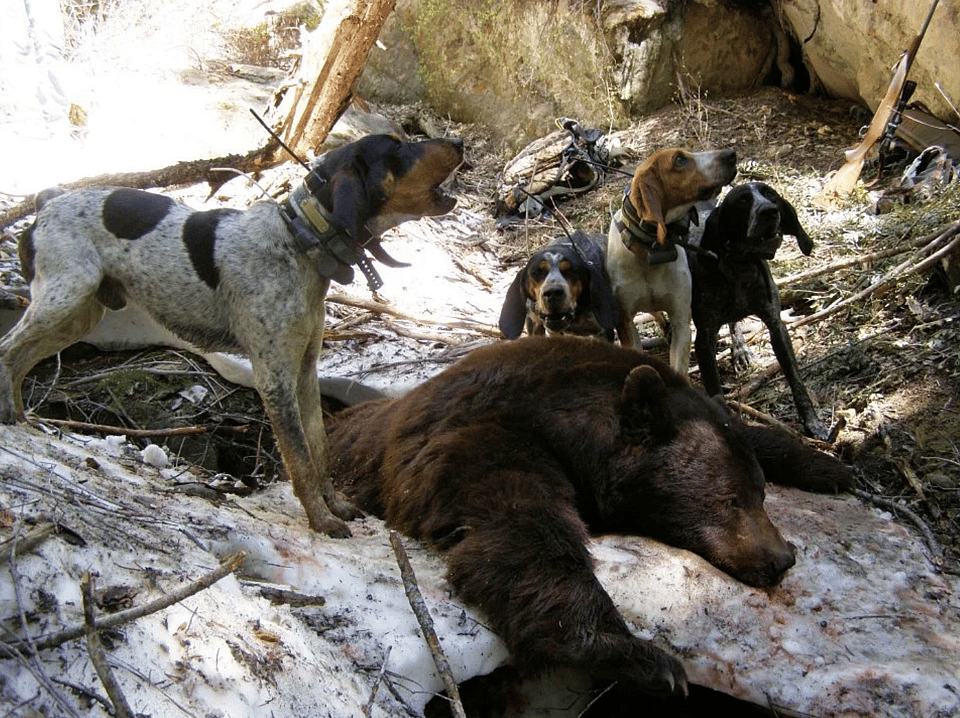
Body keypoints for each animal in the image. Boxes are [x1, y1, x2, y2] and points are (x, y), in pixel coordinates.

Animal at [327, 336, 853, 698]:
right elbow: (521, 530)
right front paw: (639, 655)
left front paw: (829, 465)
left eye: (759, 493)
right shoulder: (484, 438)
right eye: (730, 500)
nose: (782, 559)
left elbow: (747, 429)